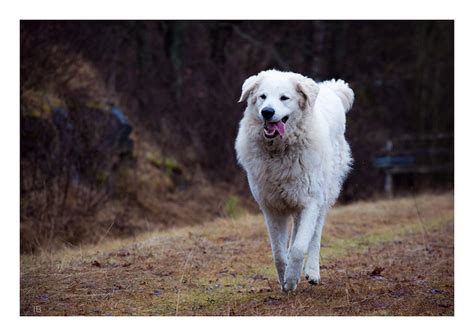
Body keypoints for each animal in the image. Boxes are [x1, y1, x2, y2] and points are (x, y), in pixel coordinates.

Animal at [235, 69, 354, 292]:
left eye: (284, 98)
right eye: (262, 96)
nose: (267, 112)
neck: (279, 152)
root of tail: (330, 89)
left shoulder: (310, 203)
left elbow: (299, 247)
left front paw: (291, 279)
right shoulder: (272, 208)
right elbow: (279, 253)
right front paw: (285, 279)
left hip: (323, 197)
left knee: (314, 235)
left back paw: (312, 272)